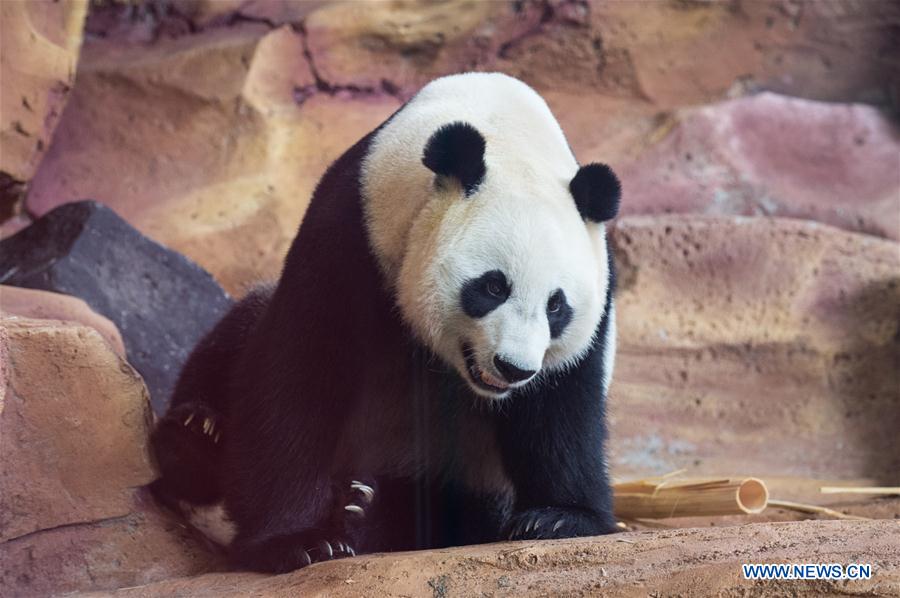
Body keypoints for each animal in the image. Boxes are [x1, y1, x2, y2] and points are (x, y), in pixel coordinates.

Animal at [149, 72, 624, 576]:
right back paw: (200, 434)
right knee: (239, 335)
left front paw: (558, 518)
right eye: (493, 287)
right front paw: (295, 541)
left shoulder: (597, 287)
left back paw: (359, 507)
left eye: (557, 306)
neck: (505, 132)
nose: (513, 368)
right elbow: (298, 374)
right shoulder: (353, 230)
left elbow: (562, 404)